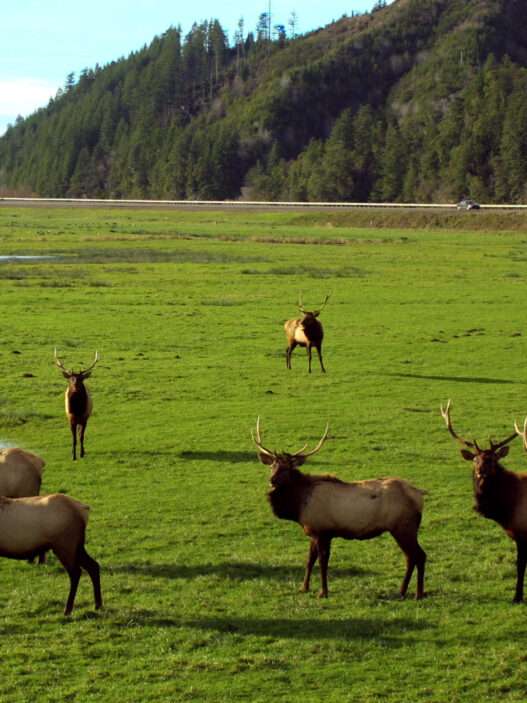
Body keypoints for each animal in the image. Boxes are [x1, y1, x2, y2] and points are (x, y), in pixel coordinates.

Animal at [252, 419, 427, 600]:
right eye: (272, 466)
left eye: (287, 468)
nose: (271, 480)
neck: (298, 505)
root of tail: (419, 495)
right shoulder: (314, 532)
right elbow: (309, 560)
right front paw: (304, 588)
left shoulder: (323, 532)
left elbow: (322, 563)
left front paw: (323, 592)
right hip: (403, 529)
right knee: (411, 557)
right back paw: (403, 591)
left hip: (403, 527)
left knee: (419, 555)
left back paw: (418, 593)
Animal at [440, 399, 527, 603]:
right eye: (475, 459)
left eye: (493, 459)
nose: (481, 472)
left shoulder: (523, 533)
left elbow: (520, 566)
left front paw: (517, 596)